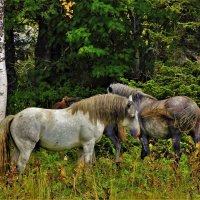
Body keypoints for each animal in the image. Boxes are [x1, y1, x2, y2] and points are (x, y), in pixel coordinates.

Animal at [0, 93, 140, 172]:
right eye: (132, 116)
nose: (137, 133)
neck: (93, 115)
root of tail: (15, 117)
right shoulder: (89, 144)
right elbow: (88, 164)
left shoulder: (81, 147)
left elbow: (79, 165)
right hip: (26, 149)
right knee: (20, 166)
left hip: (18, 149)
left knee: (13, 164)